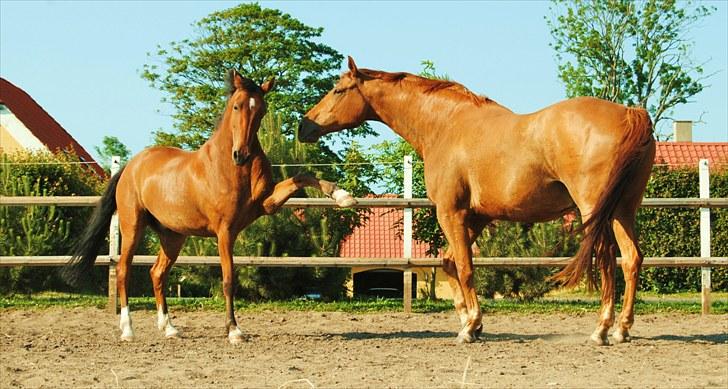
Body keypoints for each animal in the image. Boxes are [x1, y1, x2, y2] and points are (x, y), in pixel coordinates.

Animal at [67, 69, 356, 342]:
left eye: (262, 110)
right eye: (236, 106)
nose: (241, 155)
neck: (230, 168)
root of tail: (130, 166)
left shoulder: (267, 204)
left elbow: (302, 176)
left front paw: (343, 196)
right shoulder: (225, 231)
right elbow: (228, 280)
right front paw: (234, 331)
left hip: (173, 236)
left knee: (157, 273)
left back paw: (169, 329)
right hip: (133, 227)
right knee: (123, 270)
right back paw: (128, 330)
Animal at [298, 56, 656, 342]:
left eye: (338, 90)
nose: (304, 126)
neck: (445, 125)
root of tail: (630, 114)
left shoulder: (451, 212)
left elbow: (465, 267)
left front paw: (470, 327)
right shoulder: (477, 216)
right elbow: (449, 263)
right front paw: (468, 319)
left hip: (594, 210)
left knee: (607, 259)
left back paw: (601, 330)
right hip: (623, 210)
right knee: (632, 259)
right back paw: (622, 329)